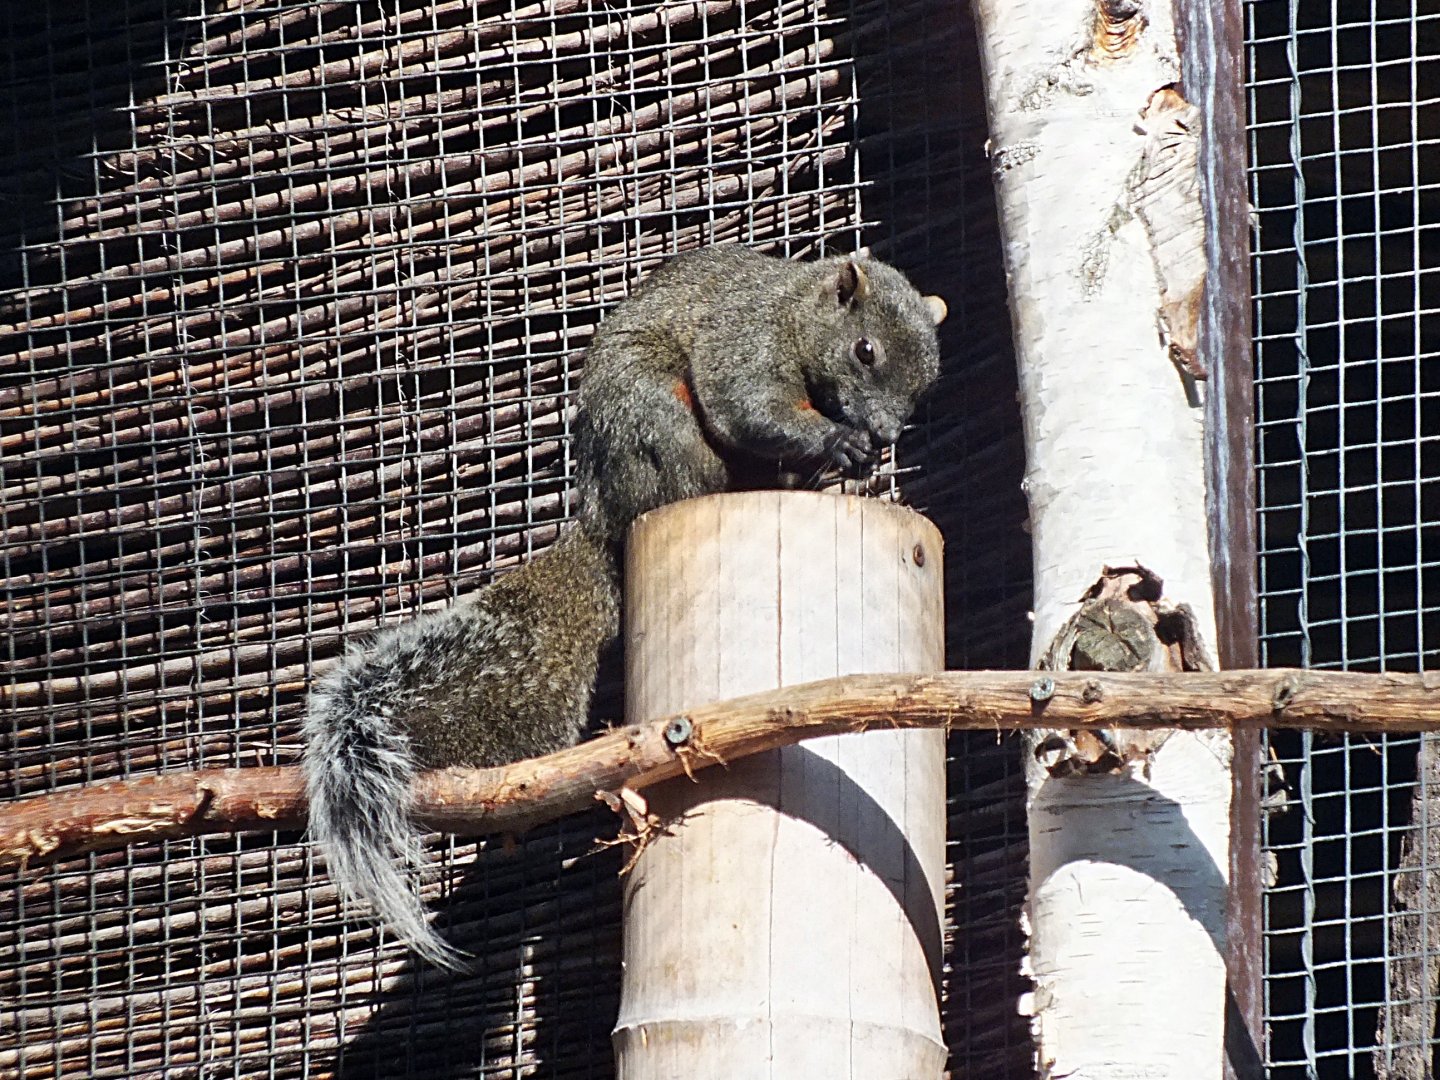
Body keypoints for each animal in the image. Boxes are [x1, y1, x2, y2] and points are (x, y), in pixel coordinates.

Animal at [303, 245, 947, 969]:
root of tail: (605, 517)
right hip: (656, 420)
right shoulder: (747, 341)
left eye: (927, 382)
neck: (796, 311)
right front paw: (839, 445)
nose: (886, 433)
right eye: (865, 351)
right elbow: (751, 405)